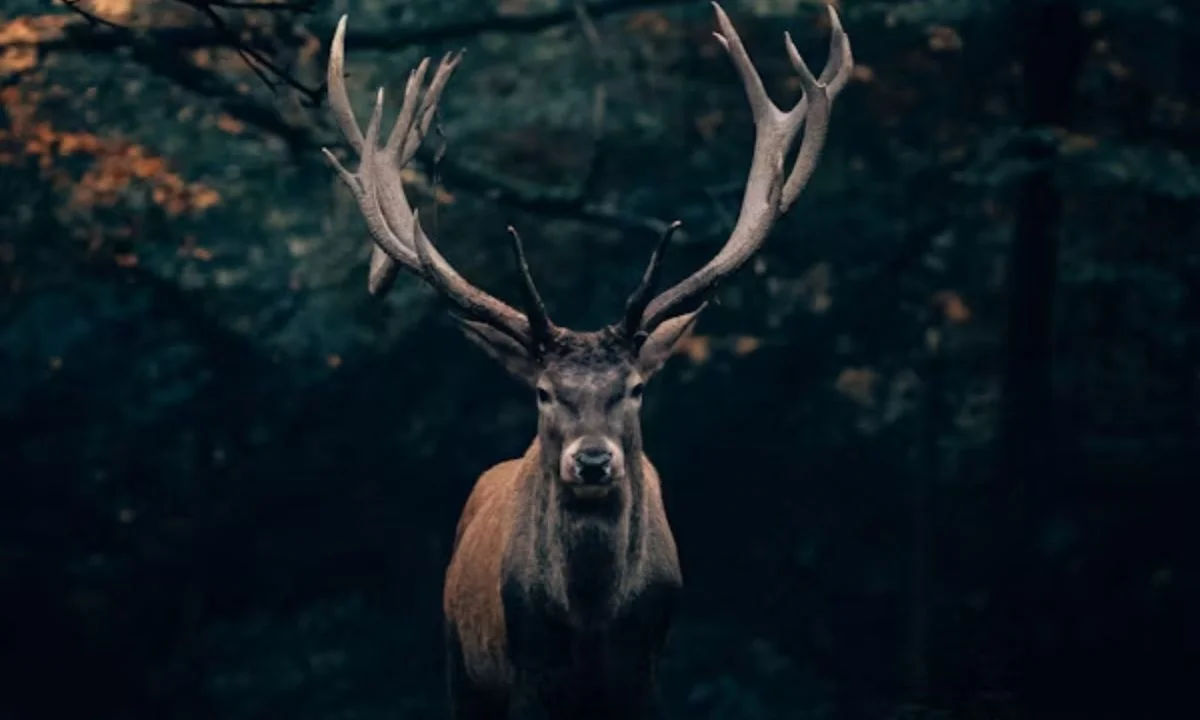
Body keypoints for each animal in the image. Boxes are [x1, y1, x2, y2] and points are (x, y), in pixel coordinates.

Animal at [320, 3, 852, 718]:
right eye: (544, 391)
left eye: (634, 388)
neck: (592, 625)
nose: (594, 460)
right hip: (463, 667)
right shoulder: (525, 676)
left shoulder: (645, 675)